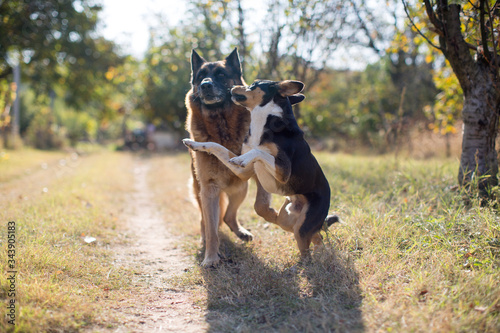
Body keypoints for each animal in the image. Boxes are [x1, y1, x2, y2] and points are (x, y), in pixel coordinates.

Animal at [184, 80, 336, 256]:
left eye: (254, 84)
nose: (232, 87)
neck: (262, 122)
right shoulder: (243, 172)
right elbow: (215, 146)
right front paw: (194, 143)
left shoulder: (284, 171)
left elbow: (259, 151)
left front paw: (242, 158)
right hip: (287, 218)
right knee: (316, 235)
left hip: (302, 227)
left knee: (308, 248)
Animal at [186, 49, 260, 266]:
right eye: (201, 76)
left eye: (220, 74)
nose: (205, 85)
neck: (221, 124)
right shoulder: (209, 189)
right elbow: (212, 230)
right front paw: (211, 257)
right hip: (202, 192)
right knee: (207, 220)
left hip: (241, 188)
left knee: (229, 216)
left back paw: (241, 232)